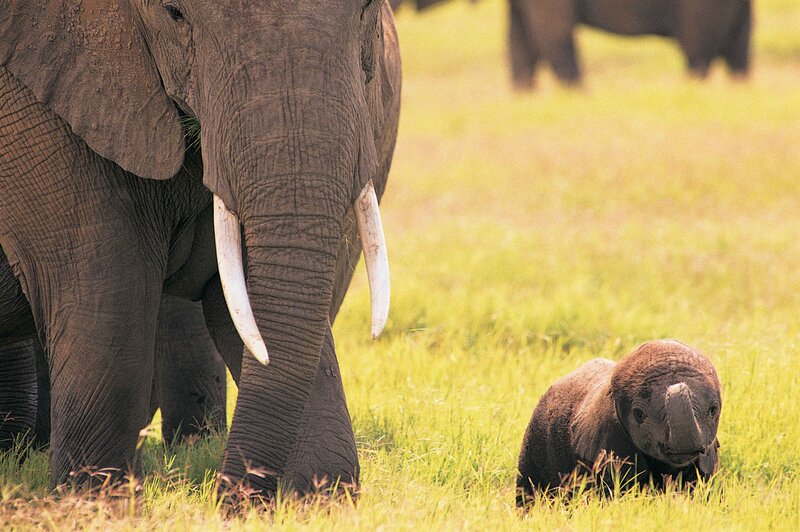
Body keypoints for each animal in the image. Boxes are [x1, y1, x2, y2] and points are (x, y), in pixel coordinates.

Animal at [0, 0, 401, 500]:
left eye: (368, 9)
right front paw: (93, 501)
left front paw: (317, 498)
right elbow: (106, 297)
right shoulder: (34, 112)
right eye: (174, 13)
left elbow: (235, 298)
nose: (229, 495)